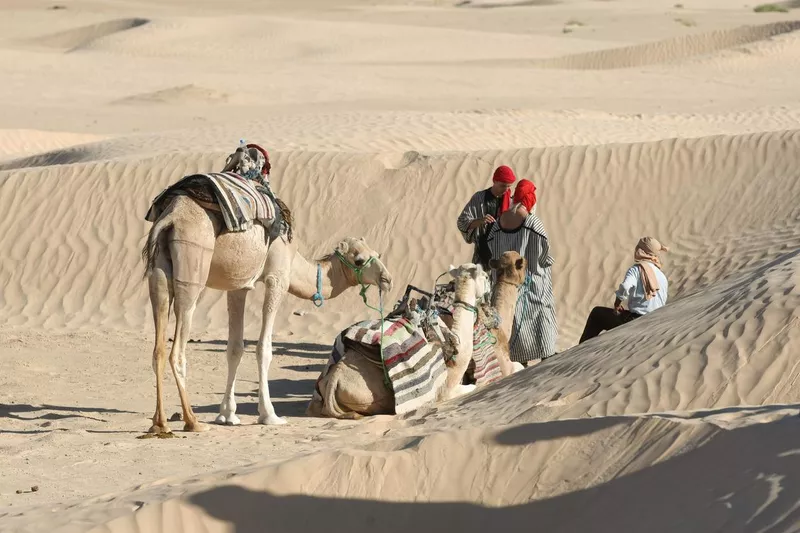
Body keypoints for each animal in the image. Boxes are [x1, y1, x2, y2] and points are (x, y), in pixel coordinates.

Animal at [145, 193, 396, 434]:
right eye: (359, 260)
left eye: (377, 253)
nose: (387, 279)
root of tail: (171, 218)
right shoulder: (278, 278)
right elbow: (263, 348)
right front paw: (269, 415)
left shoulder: (239, 285)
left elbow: (234, 349)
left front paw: (227, 415)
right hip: (192, 262)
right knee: (177, 349)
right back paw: (192, 421)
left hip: (158, 272)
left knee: (158, 349)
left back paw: (160, 423)